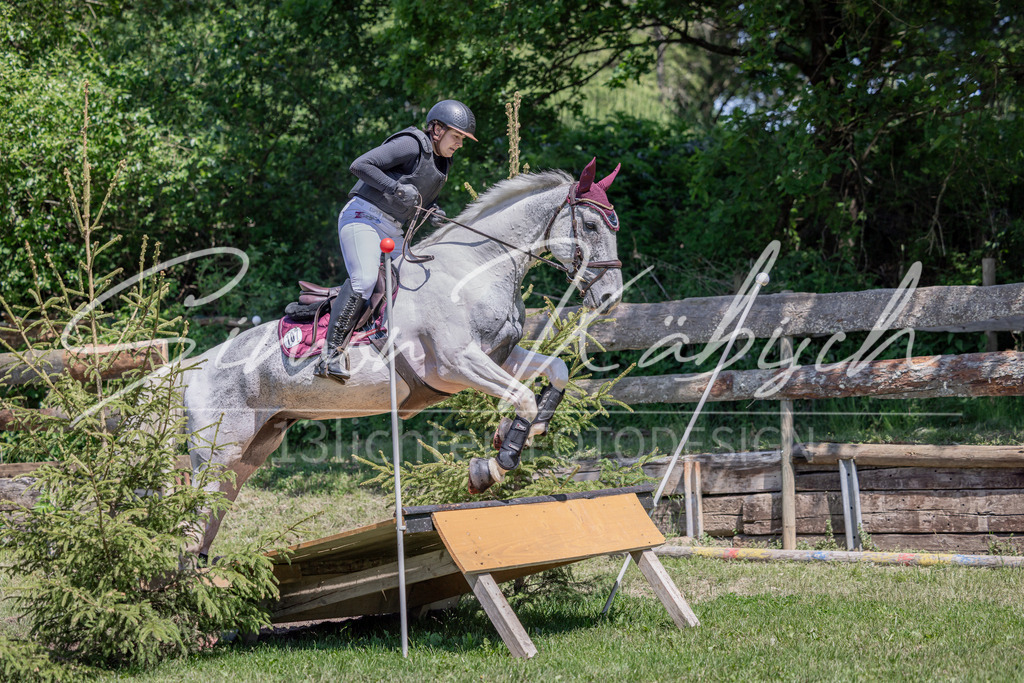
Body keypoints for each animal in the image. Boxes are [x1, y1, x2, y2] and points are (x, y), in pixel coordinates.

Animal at [181, 158, 625, 557]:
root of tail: (191, 371)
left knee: (206, 522)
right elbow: (524, 397)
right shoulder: (457, 364)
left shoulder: (501, 354)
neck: (475, 269)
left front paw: (524, 432)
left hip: (249, 453)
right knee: (190, 520)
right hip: (217, 454)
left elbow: (557, 373)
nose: (610, 299)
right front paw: (492, 466)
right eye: (590, 226)